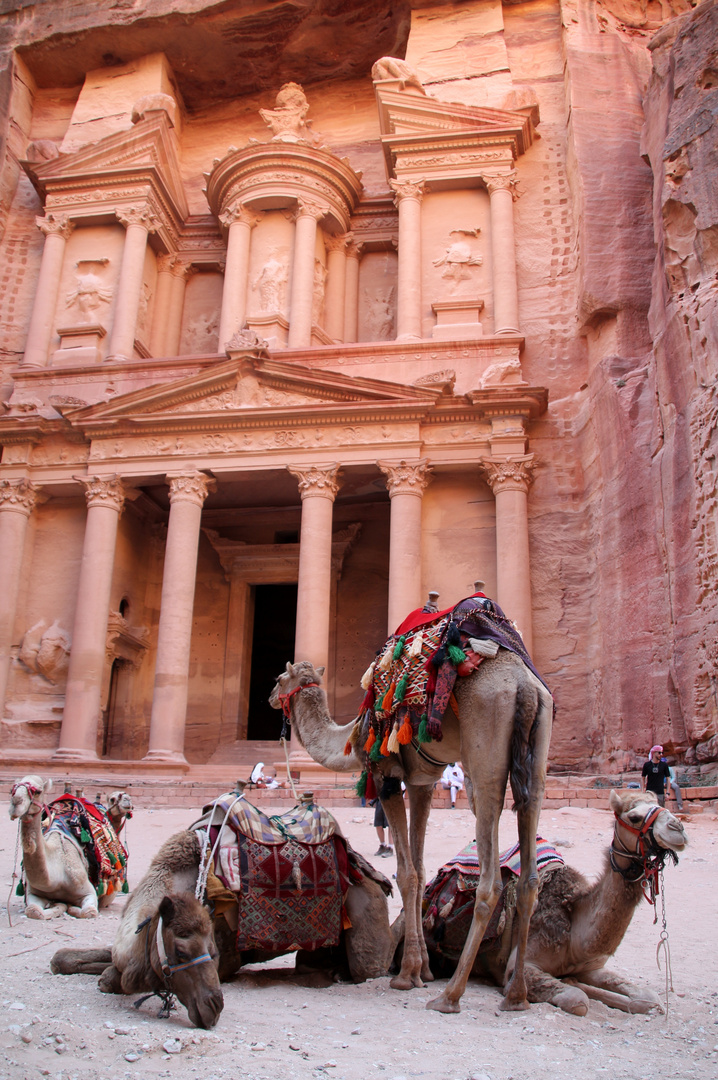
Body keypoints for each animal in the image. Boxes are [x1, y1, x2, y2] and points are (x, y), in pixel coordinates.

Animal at [8, 777, 132, 920]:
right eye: (12, 789)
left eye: (38, 791)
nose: (15, 803)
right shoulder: (33, 893)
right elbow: (33, 911)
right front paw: (58, 904)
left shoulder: (89, 891)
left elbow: (88, 912)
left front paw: (68, 906)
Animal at [53, 825, 395, 1028]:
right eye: (180, 952)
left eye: (214, 951)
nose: (214, 1006)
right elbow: (63, 958)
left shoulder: (225, 961)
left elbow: (115, 977)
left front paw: (108, 978)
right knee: (306, 964)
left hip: (368, 921)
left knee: (370, 967)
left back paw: (341, 974)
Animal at [268, 639, 548, 1010]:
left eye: (279, 678)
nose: (270, 696)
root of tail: (524, 686)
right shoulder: (422, 782)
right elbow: (420, 867)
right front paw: (423, 970)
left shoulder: (385, 774)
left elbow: (406, 874)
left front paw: (406, 975)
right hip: (538, 758)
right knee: (530, 875)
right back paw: (516, 996)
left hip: (484, 755)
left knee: (491, 882)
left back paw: (450, 996)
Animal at [412, 790, 686, 1015]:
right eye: (635, 817)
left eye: (661, 805)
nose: (678, 828)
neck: (573, 925)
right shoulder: (523, 965)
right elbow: (578, 999)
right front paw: (571, 984)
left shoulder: (591, 967)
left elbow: (648, 998)